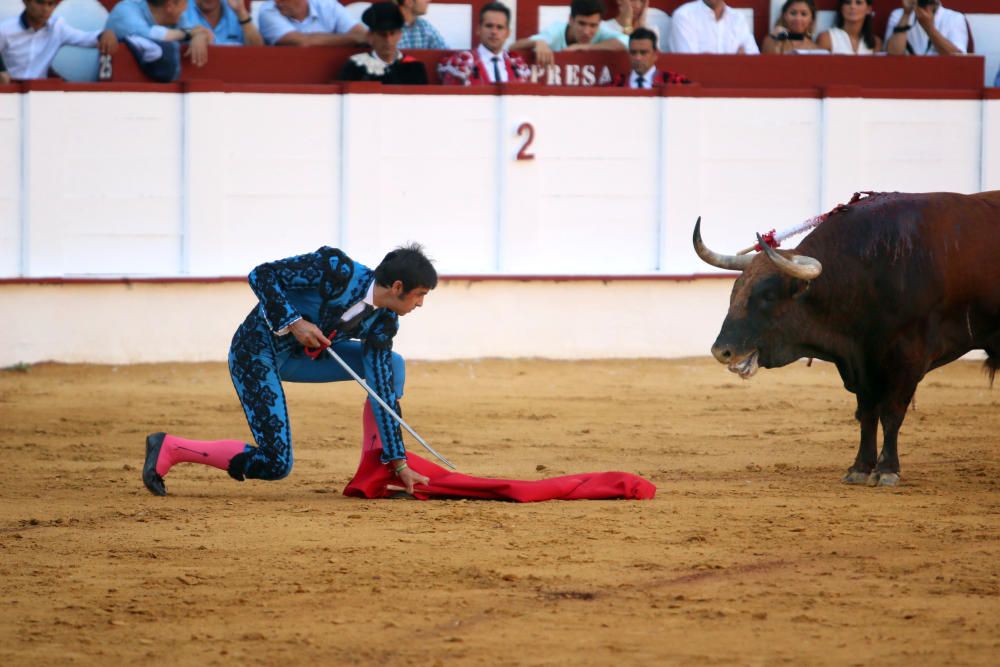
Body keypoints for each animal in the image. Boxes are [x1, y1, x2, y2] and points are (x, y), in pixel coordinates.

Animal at [696, 190, 1000, 488]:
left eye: (768, 295)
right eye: (735, 291)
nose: (721, 351)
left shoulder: (909, 357)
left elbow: (892, 412)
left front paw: (887, 470)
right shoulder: (862, 360)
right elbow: (866, 413)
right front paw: (860, 468)